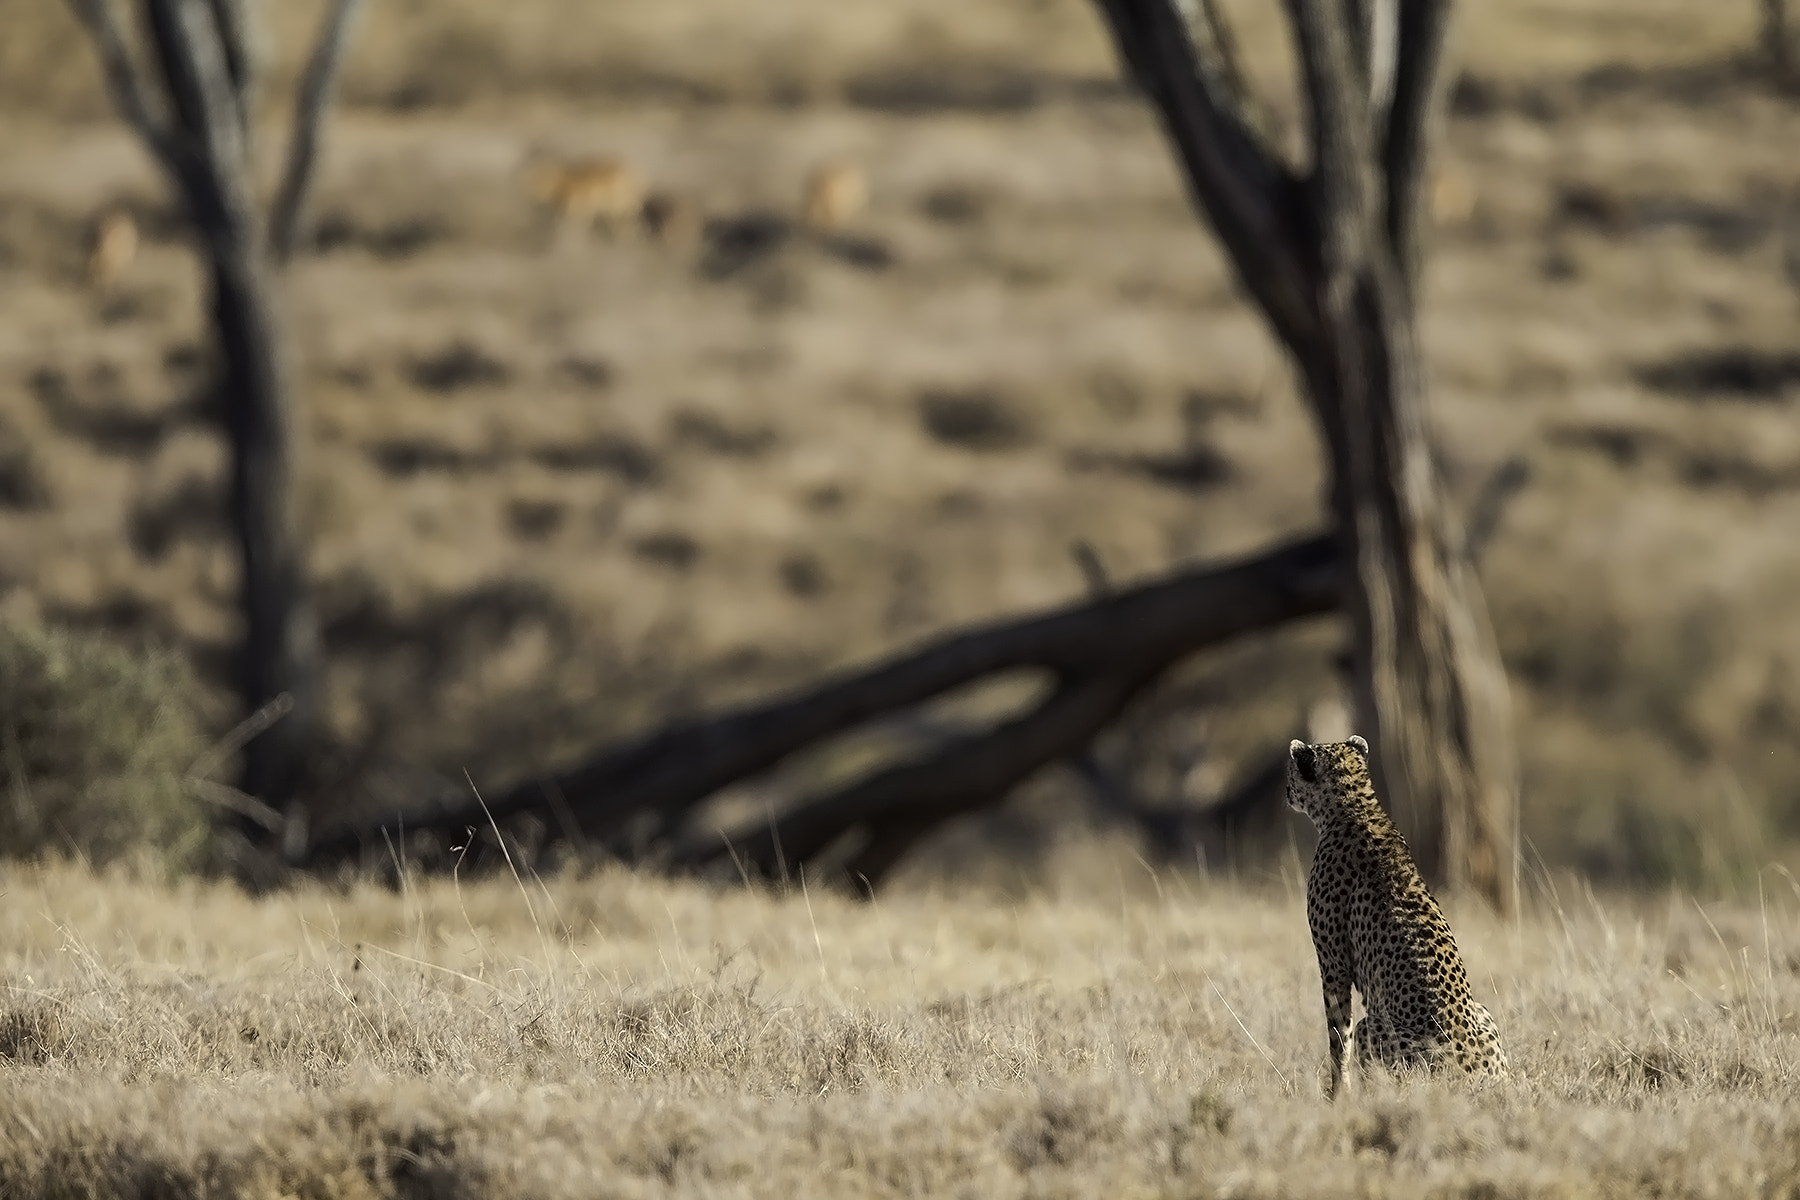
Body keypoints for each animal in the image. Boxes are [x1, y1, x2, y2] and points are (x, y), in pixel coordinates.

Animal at [1288, 734, 1512, 1101]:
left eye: (1292, 771)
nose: (1286, 792)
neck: (1355, 805)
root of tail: (1482, 1077)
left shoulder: (1334, 964)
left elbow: (1338, 1036)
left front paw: (1337, 1097)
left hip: (1375, 1027)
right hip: (1484, 1011)